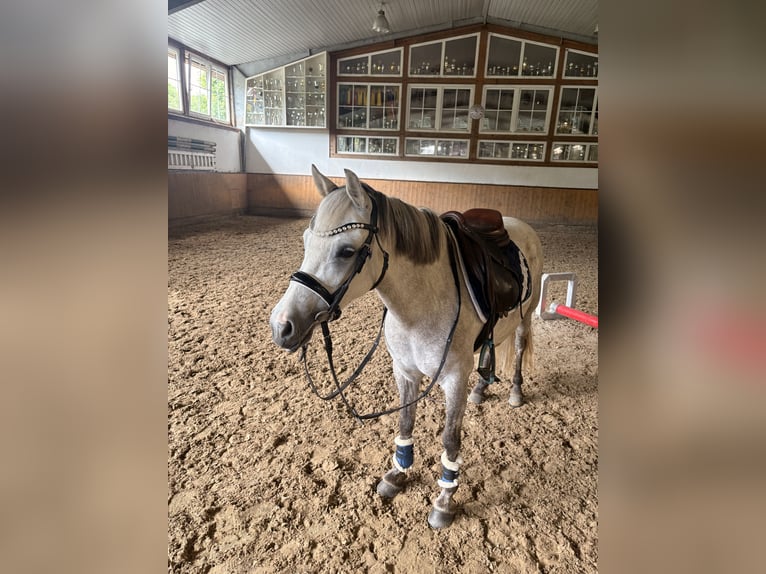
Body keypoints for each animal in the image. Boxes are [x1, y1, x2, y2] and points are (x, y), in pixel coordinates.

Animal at [270, 165, 543, 528]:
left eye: (346, 251)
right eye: (304, 241)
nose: (281, 326)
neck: (420, 305)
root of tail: (519, 224)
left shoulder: (454, 378)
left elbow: (450, 439)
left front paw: (444, 501)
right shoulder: (405, 372)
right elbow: (405, 422)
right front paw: (397, 475)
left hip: (525, 318)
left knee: (519, 345)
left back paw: (514, 391)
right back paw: (481, 390)